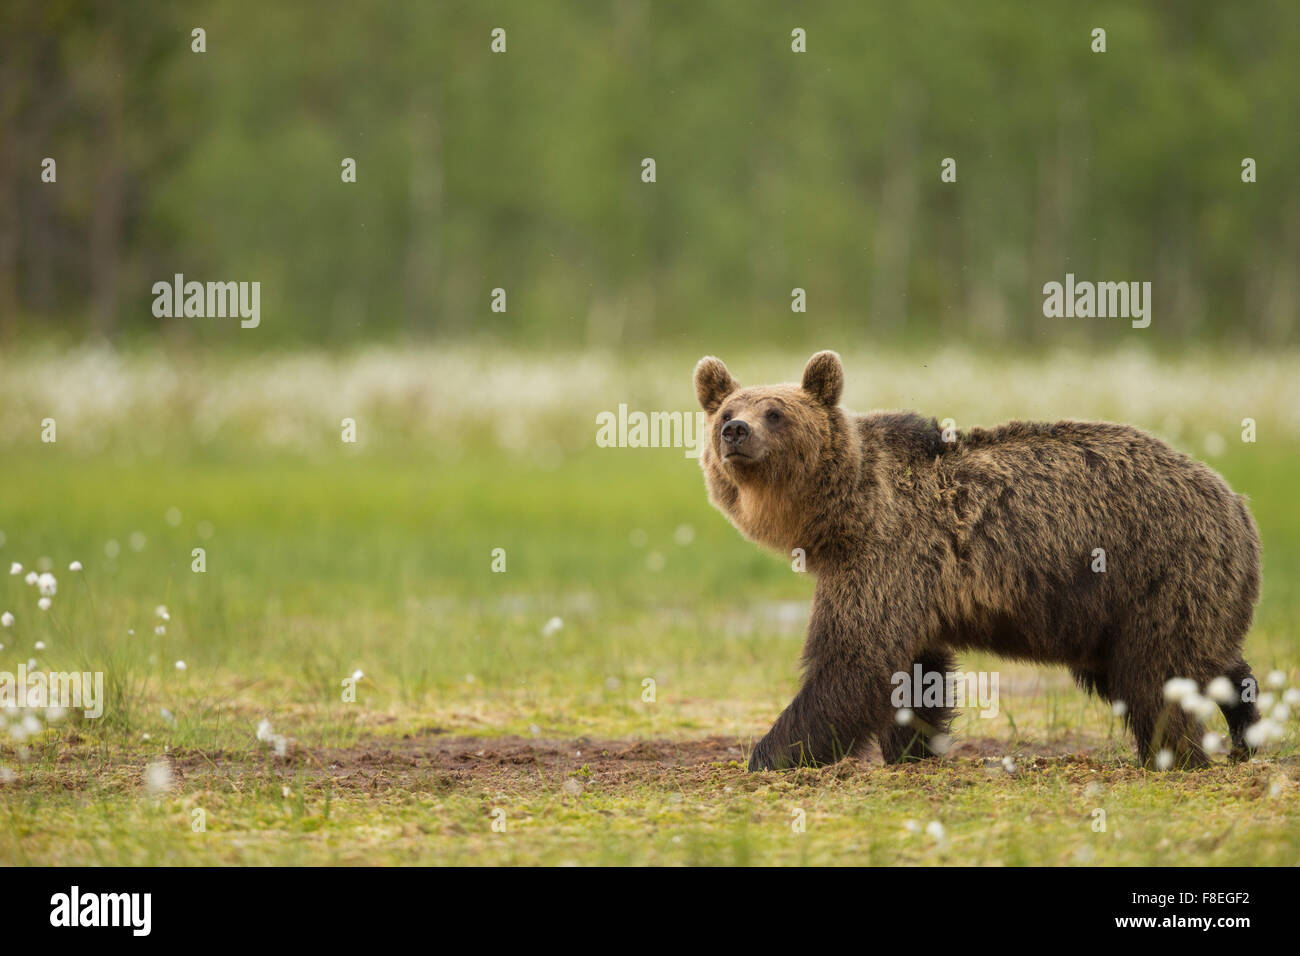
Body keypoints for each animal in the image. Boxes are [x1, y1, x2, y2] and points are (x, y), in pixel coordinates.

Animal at [693, 350, 1262, 772]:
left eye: (775, 412)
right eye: (726, 410)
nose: (735, 431)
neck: (844, 515)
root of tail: (1236, 501)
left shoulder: (884, 555)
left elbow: (853, 662)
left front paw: (768, 754)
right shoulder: (908, 581)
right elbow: (914, 672)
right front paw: (913, 749)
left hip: (1157, 567)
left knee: (1155, 674)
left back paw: (1173, 756)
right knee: (1198, 656)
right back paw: (1246, 722)